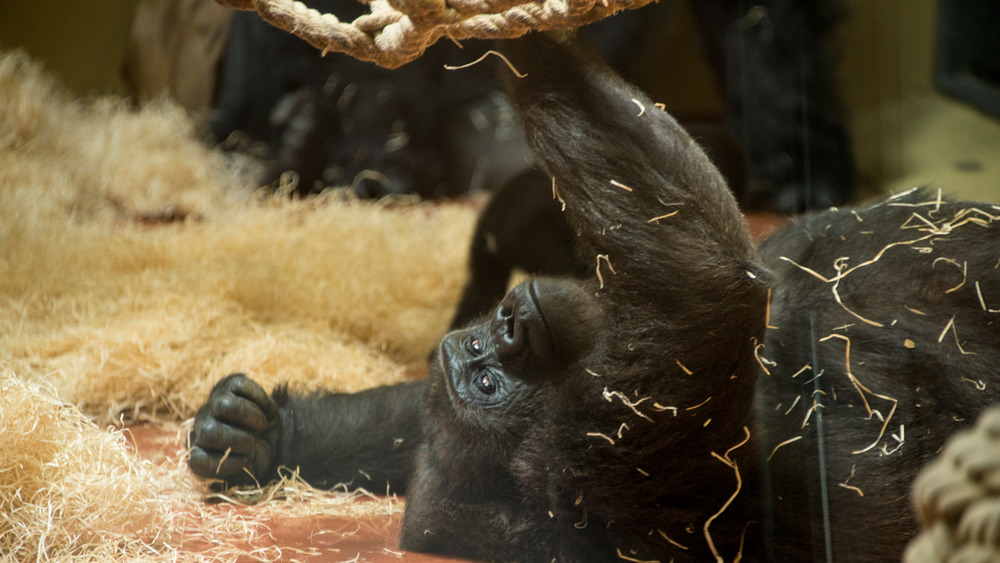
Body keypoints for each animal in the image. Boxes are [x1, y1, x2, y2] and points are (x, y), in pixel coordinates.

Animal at [188, 33, 1000, 560]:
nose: (508, 325)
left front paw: (260, 438)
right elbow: (706, 282)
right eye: (489, 383)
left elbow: (412, 419)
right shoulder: (611, 447)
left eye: (482, 357)